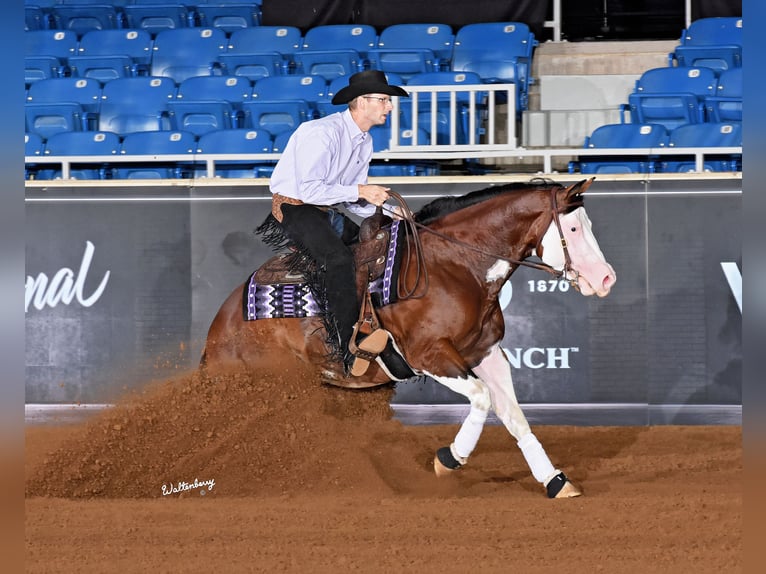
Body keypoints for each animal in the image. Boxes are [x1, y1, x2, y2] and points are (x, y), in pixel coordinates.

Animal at [202, 180, 616, 500]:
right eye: (574, 229)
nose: (606, 278)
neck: (453, 265)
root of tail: (221, 324)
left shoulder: (486, 353)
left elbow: (514, 416)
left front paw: (555, 481)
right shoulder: (428, 354)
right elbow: (481, 398)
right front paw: (448, 459)